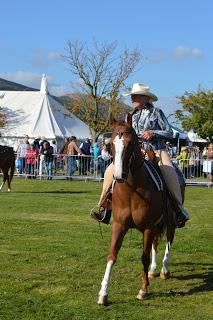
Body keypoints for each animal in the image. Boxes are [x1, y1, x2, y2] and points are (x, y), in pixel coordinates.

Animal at [96, 114, 185, 304]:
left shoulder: (148, 227)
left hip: (171, 220)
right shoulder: (119, 225)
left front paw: (143, 289)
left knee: (169, 239)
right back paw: (153, 270)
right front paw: (103, 293)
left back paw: (164, 269)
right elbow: (112, 255)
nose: (119, 175)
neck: (132, 191)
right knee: (156, 243)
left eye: (130, 143)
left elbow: (143, 256)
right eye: (111, 143)